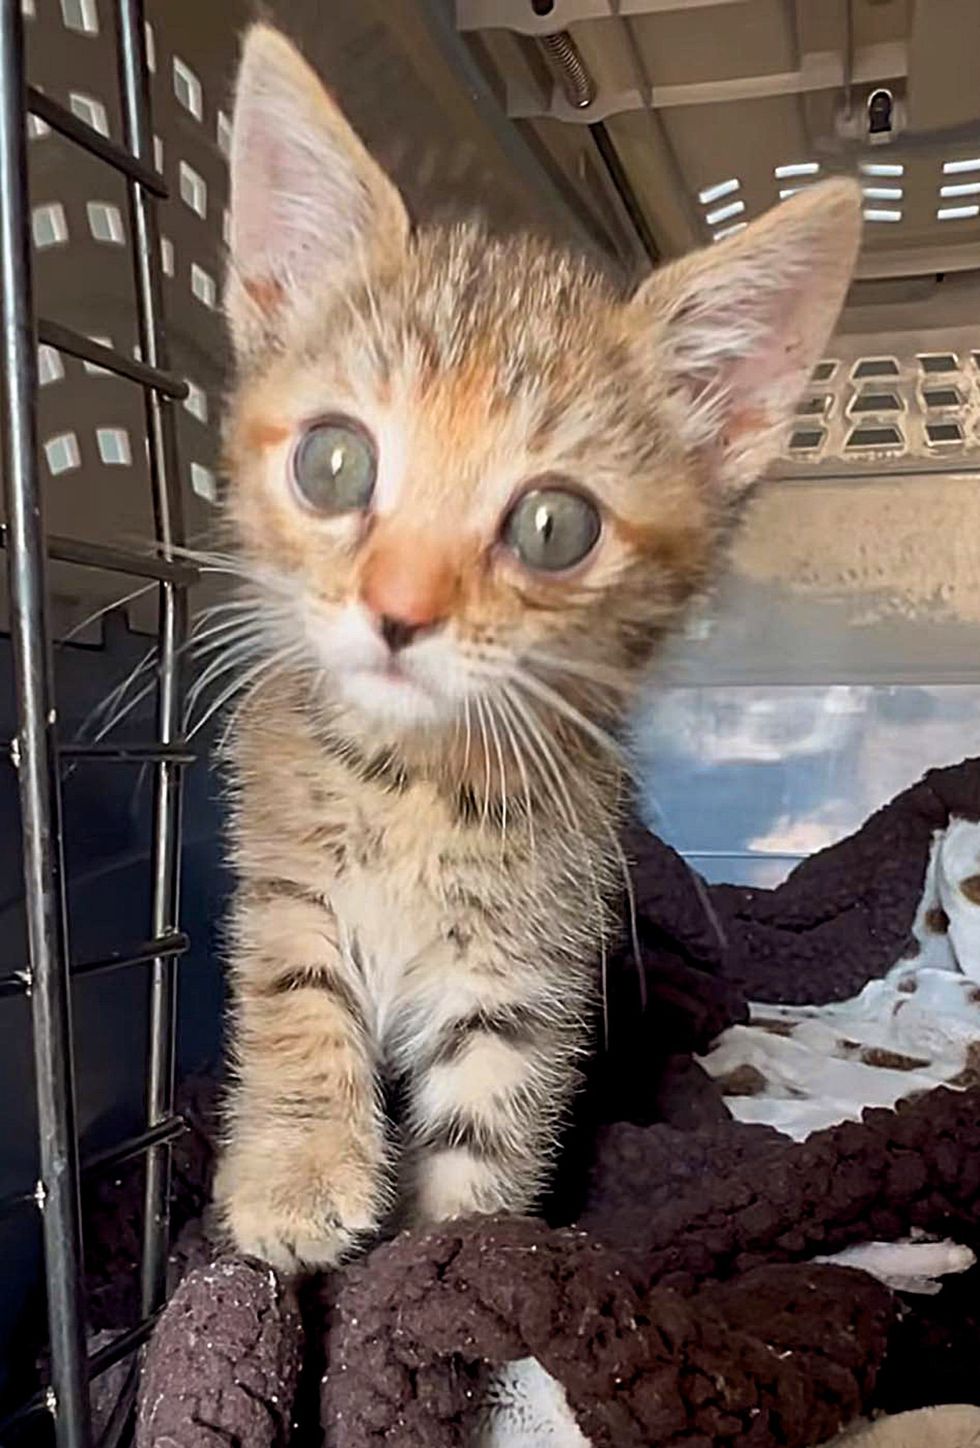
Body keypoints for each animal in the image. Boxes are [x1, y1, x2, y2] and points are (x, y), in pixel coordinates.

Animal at [212, 19, 856, 1268]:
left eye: (555, 526)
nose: (399, 608)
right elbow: (294, 997)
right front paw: (293, 1172)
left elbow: (488, 1136)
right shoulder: (281, 872)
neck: (410, 784)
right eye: (331, 462)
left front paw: (451, 1262)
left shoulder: (522, 979)